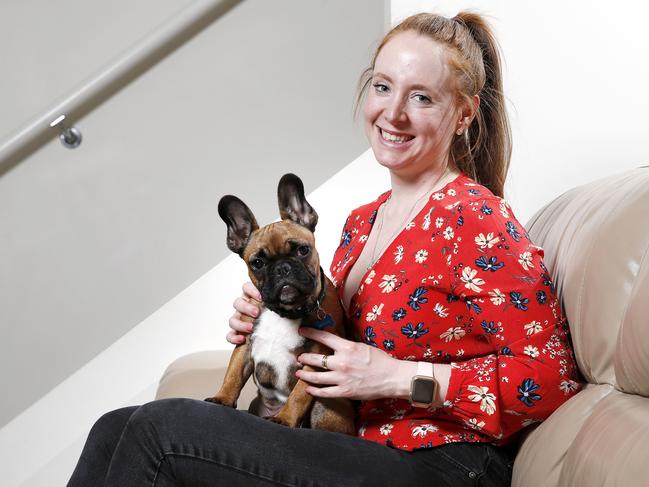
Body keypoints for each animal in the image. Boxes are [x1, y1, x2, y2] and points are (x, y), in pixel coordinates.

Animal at [204, 173, 352, 434]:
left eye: (303, 250)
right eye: (258, 263)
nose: (283, 268)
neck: (284, 312)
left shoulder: (316, 355)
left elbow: (300, 393)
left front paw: (285, 419)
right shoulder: (244, 343)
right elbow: (232, 375)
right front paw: (222, 398)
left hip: (324, 406)